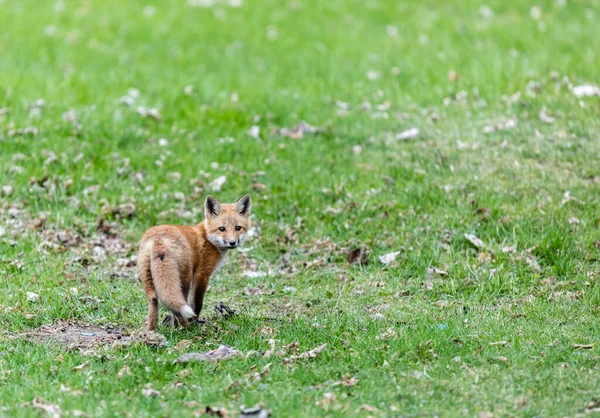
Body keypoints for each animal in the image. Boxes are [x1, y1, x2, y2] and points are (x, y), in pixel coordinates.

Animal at [137, 194, 252, 332]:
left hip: (148, 279)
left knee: (154, 301)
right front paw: (195, 322)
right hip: (183, 278)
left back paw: (151, 332)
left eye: (238, 228)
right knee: (178, 306)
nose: (232, 242)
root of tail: (158, 239)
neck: (207, 238)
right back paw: (186, 328)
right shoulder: (202, 274)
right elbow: (197, 303)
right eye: (222, 229)